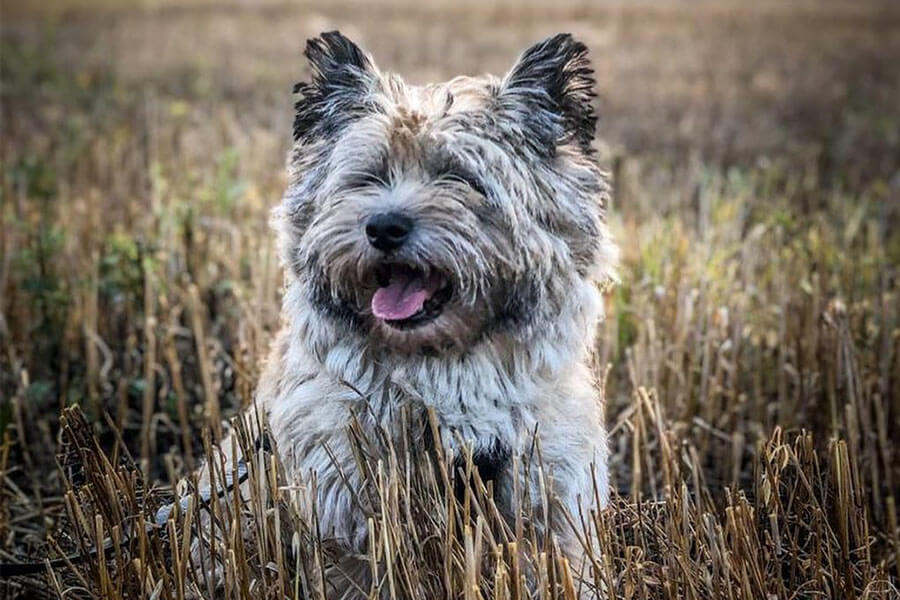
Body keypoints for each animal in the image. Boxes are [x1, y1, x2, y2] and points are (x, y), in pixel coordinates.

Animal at [198, 29, 620, 596]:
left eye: (460, 177)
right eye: (368, 178)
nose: (384, 227)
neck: (443, 374)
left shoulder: (546, 505)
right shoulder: (346, 517)